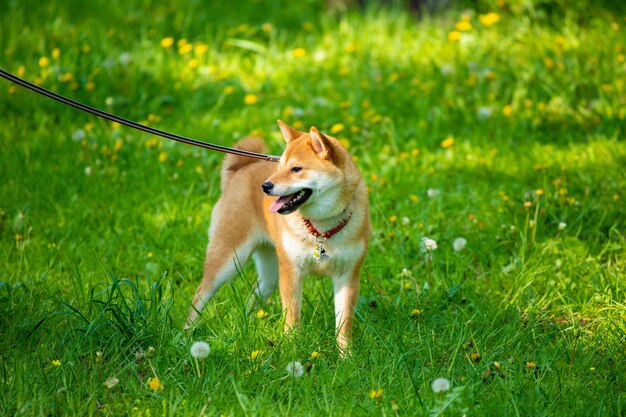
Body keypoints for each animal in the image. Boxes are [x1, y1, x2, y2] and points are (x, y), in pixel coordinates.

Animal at [185, 119, 370, 352]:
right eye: (280, 167)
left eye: (296, 169)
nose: (265, 186)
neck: (321, 230)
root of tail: (242, 170)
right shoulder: (291, 271)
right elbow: (292, 318)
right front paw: (293, 349)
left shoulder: (347, 276)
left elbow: (343, 325)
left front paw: (347, 356)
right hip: (228, 260)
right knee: (200, 294)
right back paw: (184, 334)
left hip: (269, 274)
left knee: (254, 295)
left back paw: (248, 324)